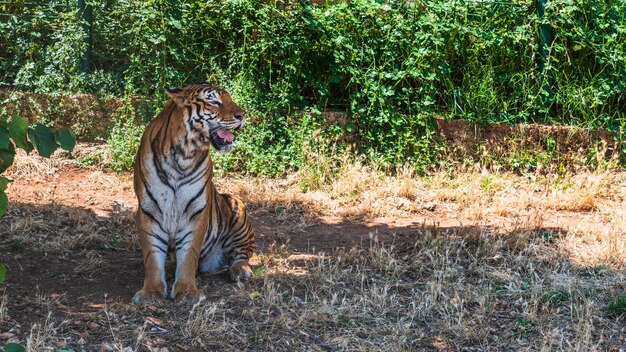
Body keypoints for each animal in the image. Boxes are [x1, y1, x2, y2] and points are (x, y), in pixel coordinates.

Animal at [133, 83, 255, 306]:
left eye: (229, 98)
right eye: (214, 101)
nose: (242, 115)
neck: (184, 154)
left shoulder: (196, 210)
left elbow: (188, 255)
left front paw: (187, 292)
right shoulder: (148, 210)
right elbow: (152, 256)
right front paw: (151, 293)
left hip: (237, 206)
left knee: (241, 254)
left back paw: (240, 270)